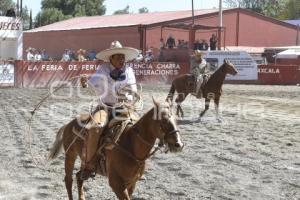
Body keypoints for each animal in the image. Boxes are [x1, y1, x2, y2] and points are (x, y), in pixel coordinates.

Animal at [47, 99, 183, 200]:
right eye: (163, 120)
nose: (179, 144)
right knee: (68, 180)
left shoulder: (131, 183)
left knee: (79, 177)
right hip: (70, 154)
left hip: (85, 161)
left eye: (176, 119)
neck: (131, 145)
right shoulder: (116, 184)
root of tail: (68, 124)